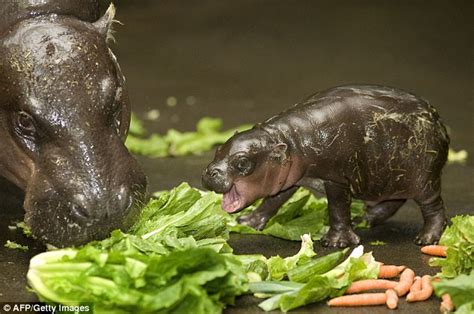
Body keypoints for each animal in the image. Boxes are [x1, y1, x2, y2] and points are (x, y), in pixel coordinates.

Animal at [202, 84, 450, 247]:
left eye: (242, 162)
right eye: (218, 149)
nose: (210, 172)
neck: (288, 140)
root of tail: (439, 120)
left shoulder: (336, 179)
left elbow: (337, 209)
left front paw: (335, 243)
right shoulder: (287, 178)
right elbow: (272, 201)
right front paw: (248, 222)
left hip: (425, 179)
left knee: (434, 207)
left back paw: (427, 238)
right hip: (389, 178)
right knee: (392, 201)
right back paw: (363, 220)